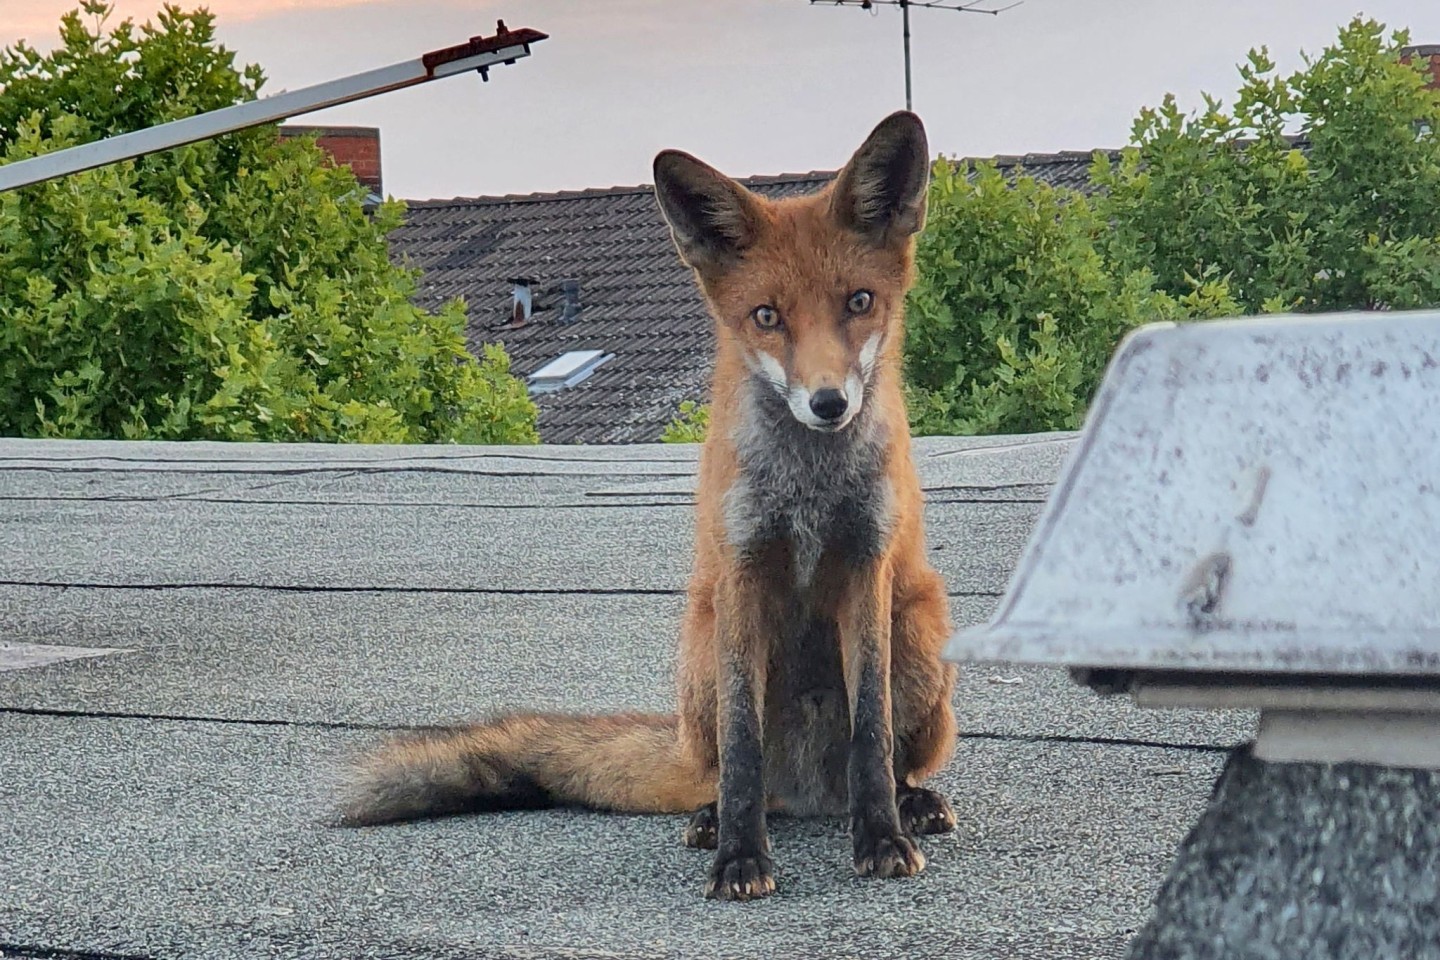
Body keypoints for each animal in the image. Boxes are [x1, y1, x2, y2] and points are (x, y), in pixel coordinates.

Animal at [335, 110, 956, 903]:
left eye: (859, 302)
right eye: (765, 316)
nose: (827, 404)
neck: (810, 488)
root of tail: (811, 795)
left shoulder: (866, 564)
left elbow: (871, 733)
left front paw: (880, 838)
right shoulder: (742, 570)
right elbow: (743, 747)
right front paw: (740, 858)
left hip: (920, 629)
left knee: (888, 759)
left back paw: (913, 803)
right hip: (701, 650)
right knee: (728, 773)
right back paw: (714, 819)